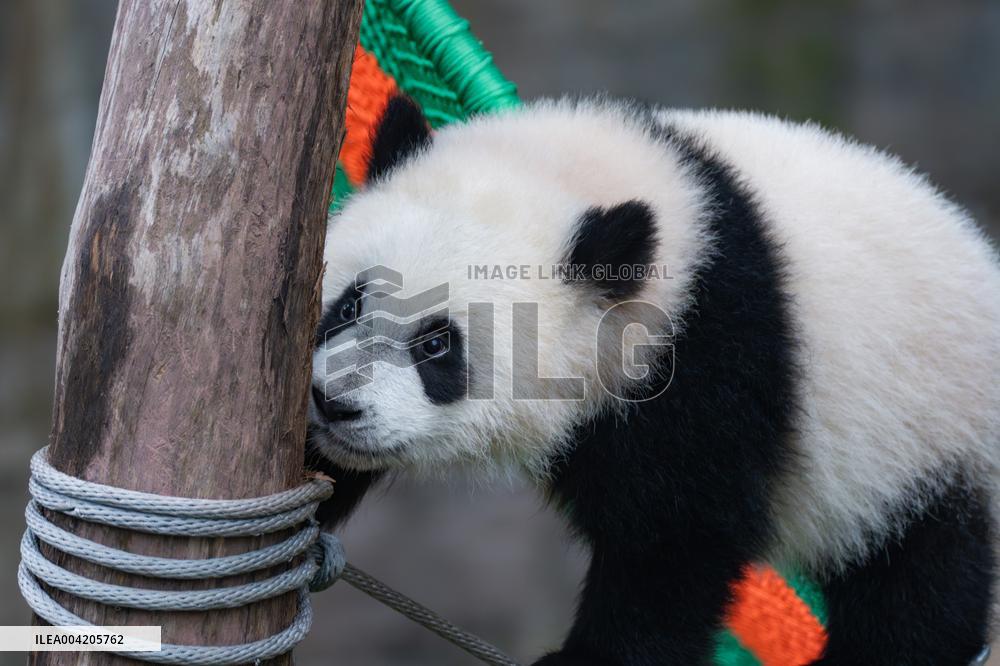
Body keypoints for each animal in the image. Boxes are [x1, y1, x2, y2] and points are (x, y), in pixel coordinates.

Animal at [306, 94, 1000, 666]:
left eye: (437, 344)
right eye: (349, 304)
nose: (337, 404)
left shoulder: (710, 354)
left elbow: (676, 533)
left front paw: (590, 662)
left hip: (932, 441)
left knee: (921, 581)